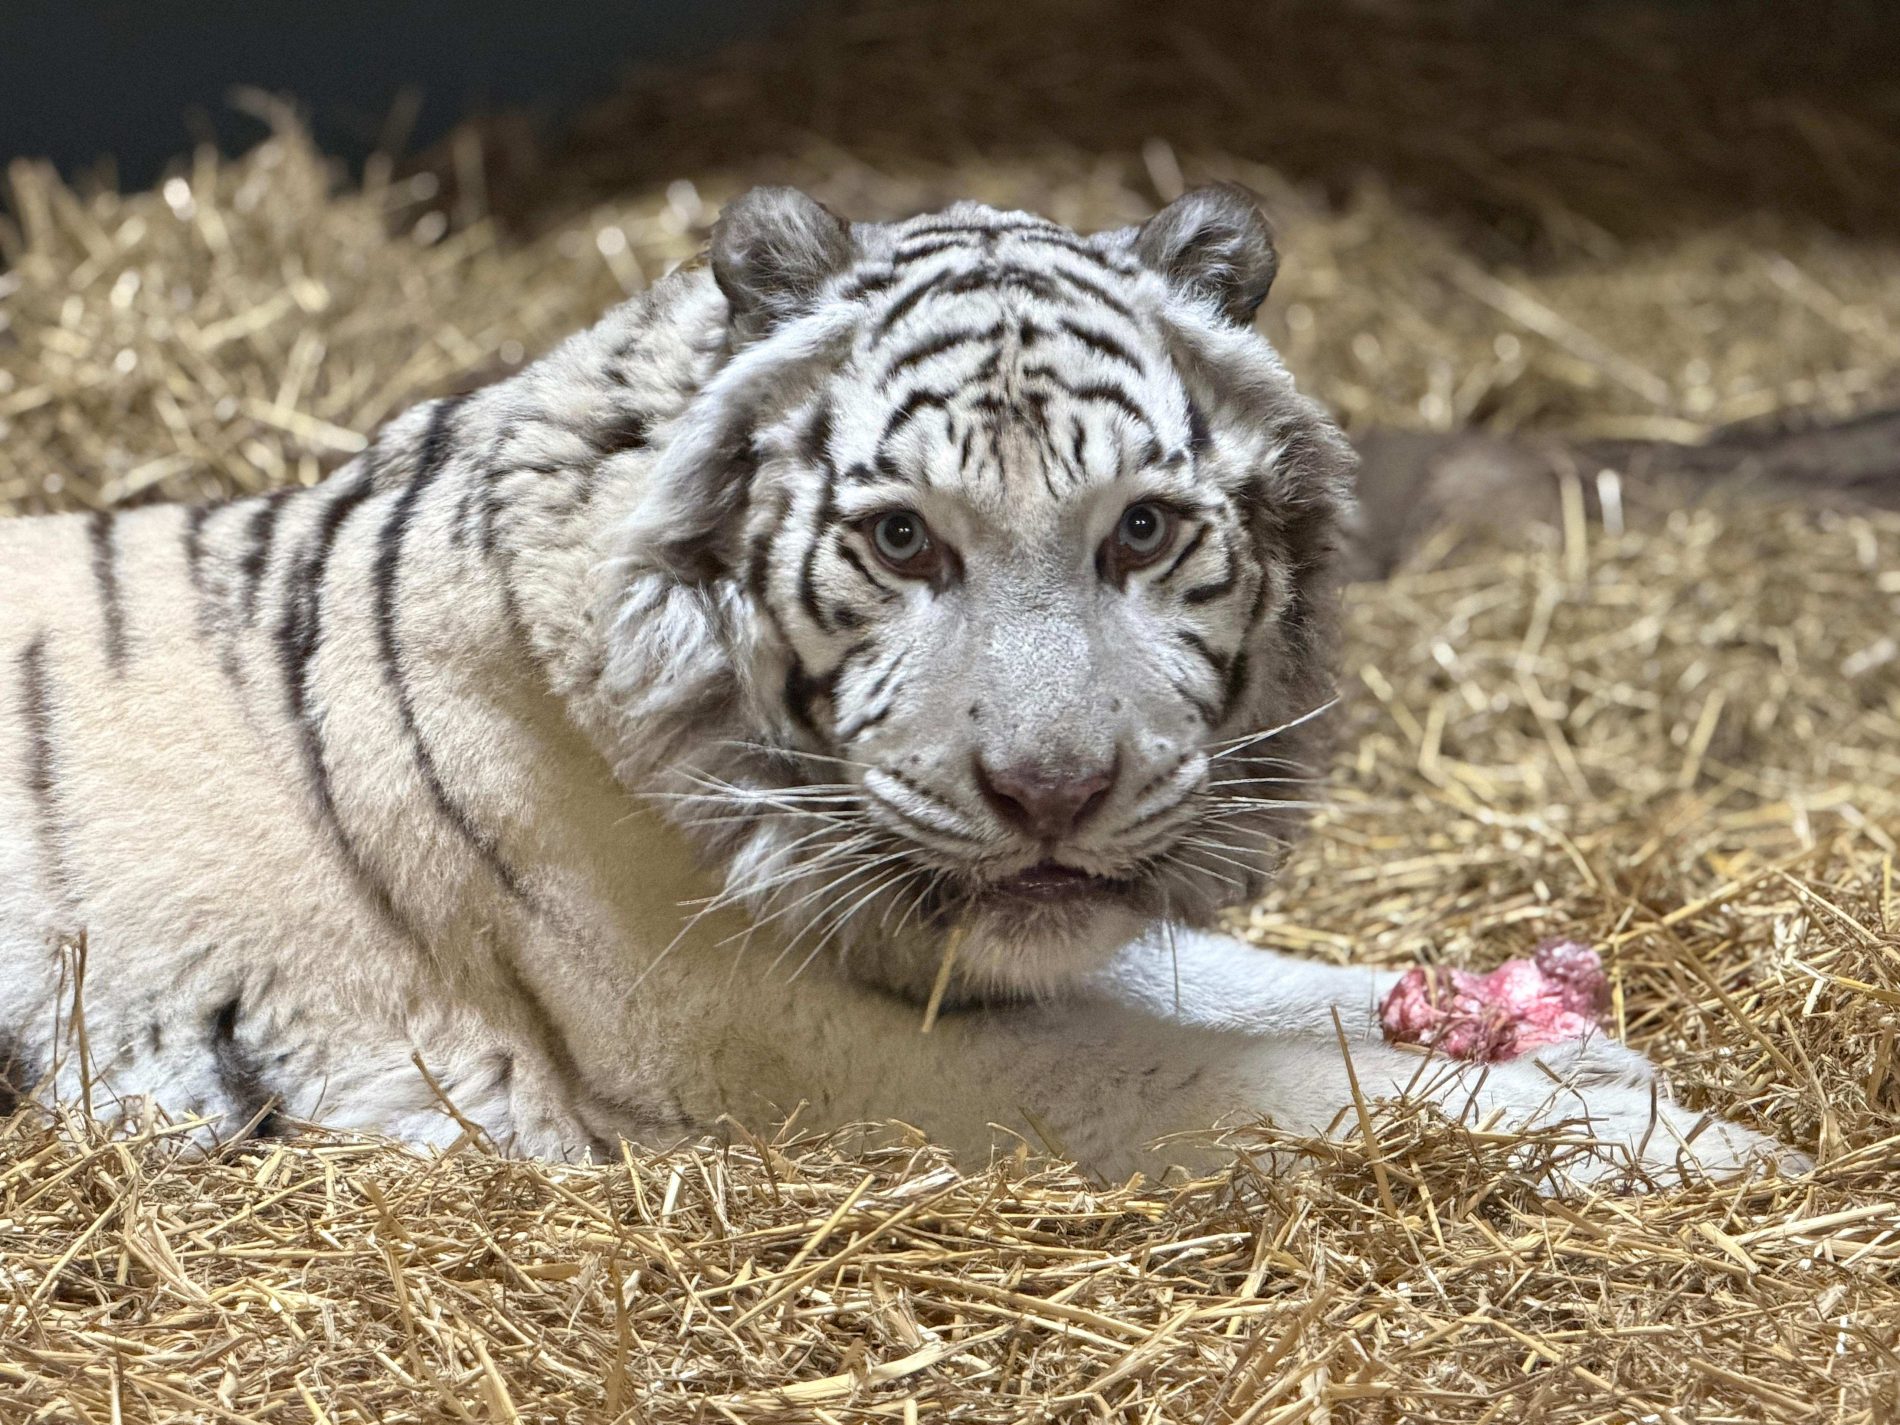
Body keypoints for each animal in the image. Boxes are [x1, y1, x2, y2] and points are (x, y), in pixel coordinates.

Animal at [0, 183, 1794, 1185]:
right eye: (903, 539)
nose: (1054, 793)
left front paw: (1582, 1051)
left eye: (1143, 529)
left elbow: (1245, 980)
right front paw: (1679, 1142)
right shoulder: (780, 1050)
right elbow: (1229, 1073)